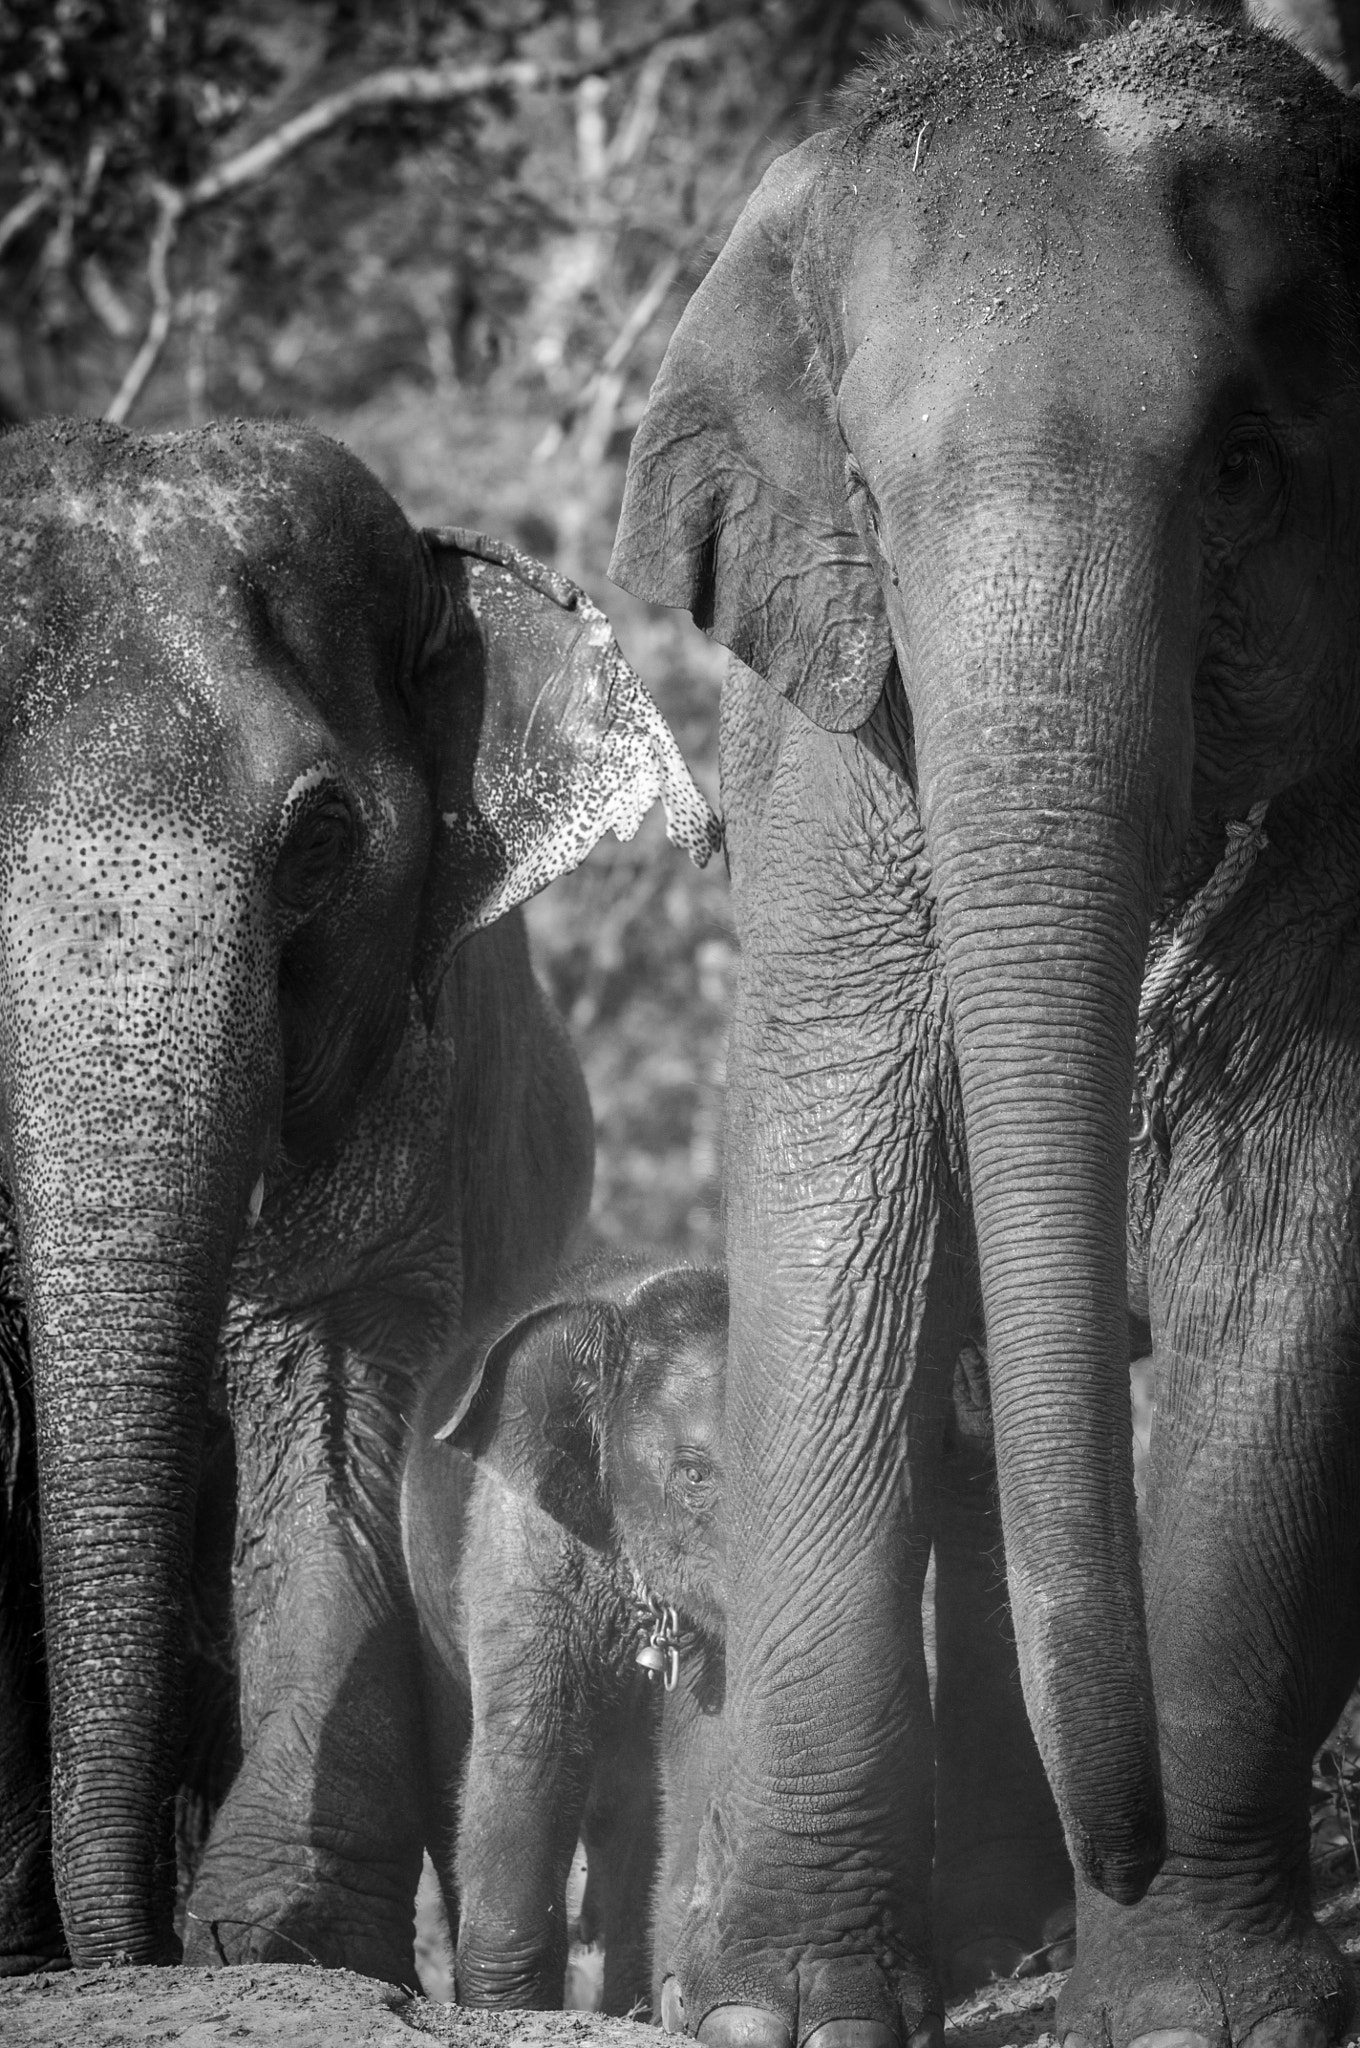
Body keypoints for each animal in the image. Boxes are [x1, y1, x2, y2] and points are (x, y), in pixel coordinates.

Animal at [614, 16, 1360, 2048]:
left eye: (1247, 470)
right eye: (868, 498)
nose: (1125, 1846)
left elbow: (1302, 1235)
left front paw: (1191, 2010)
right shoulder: (817, 739)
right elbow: (843, 1190)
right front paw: (781, 2013)